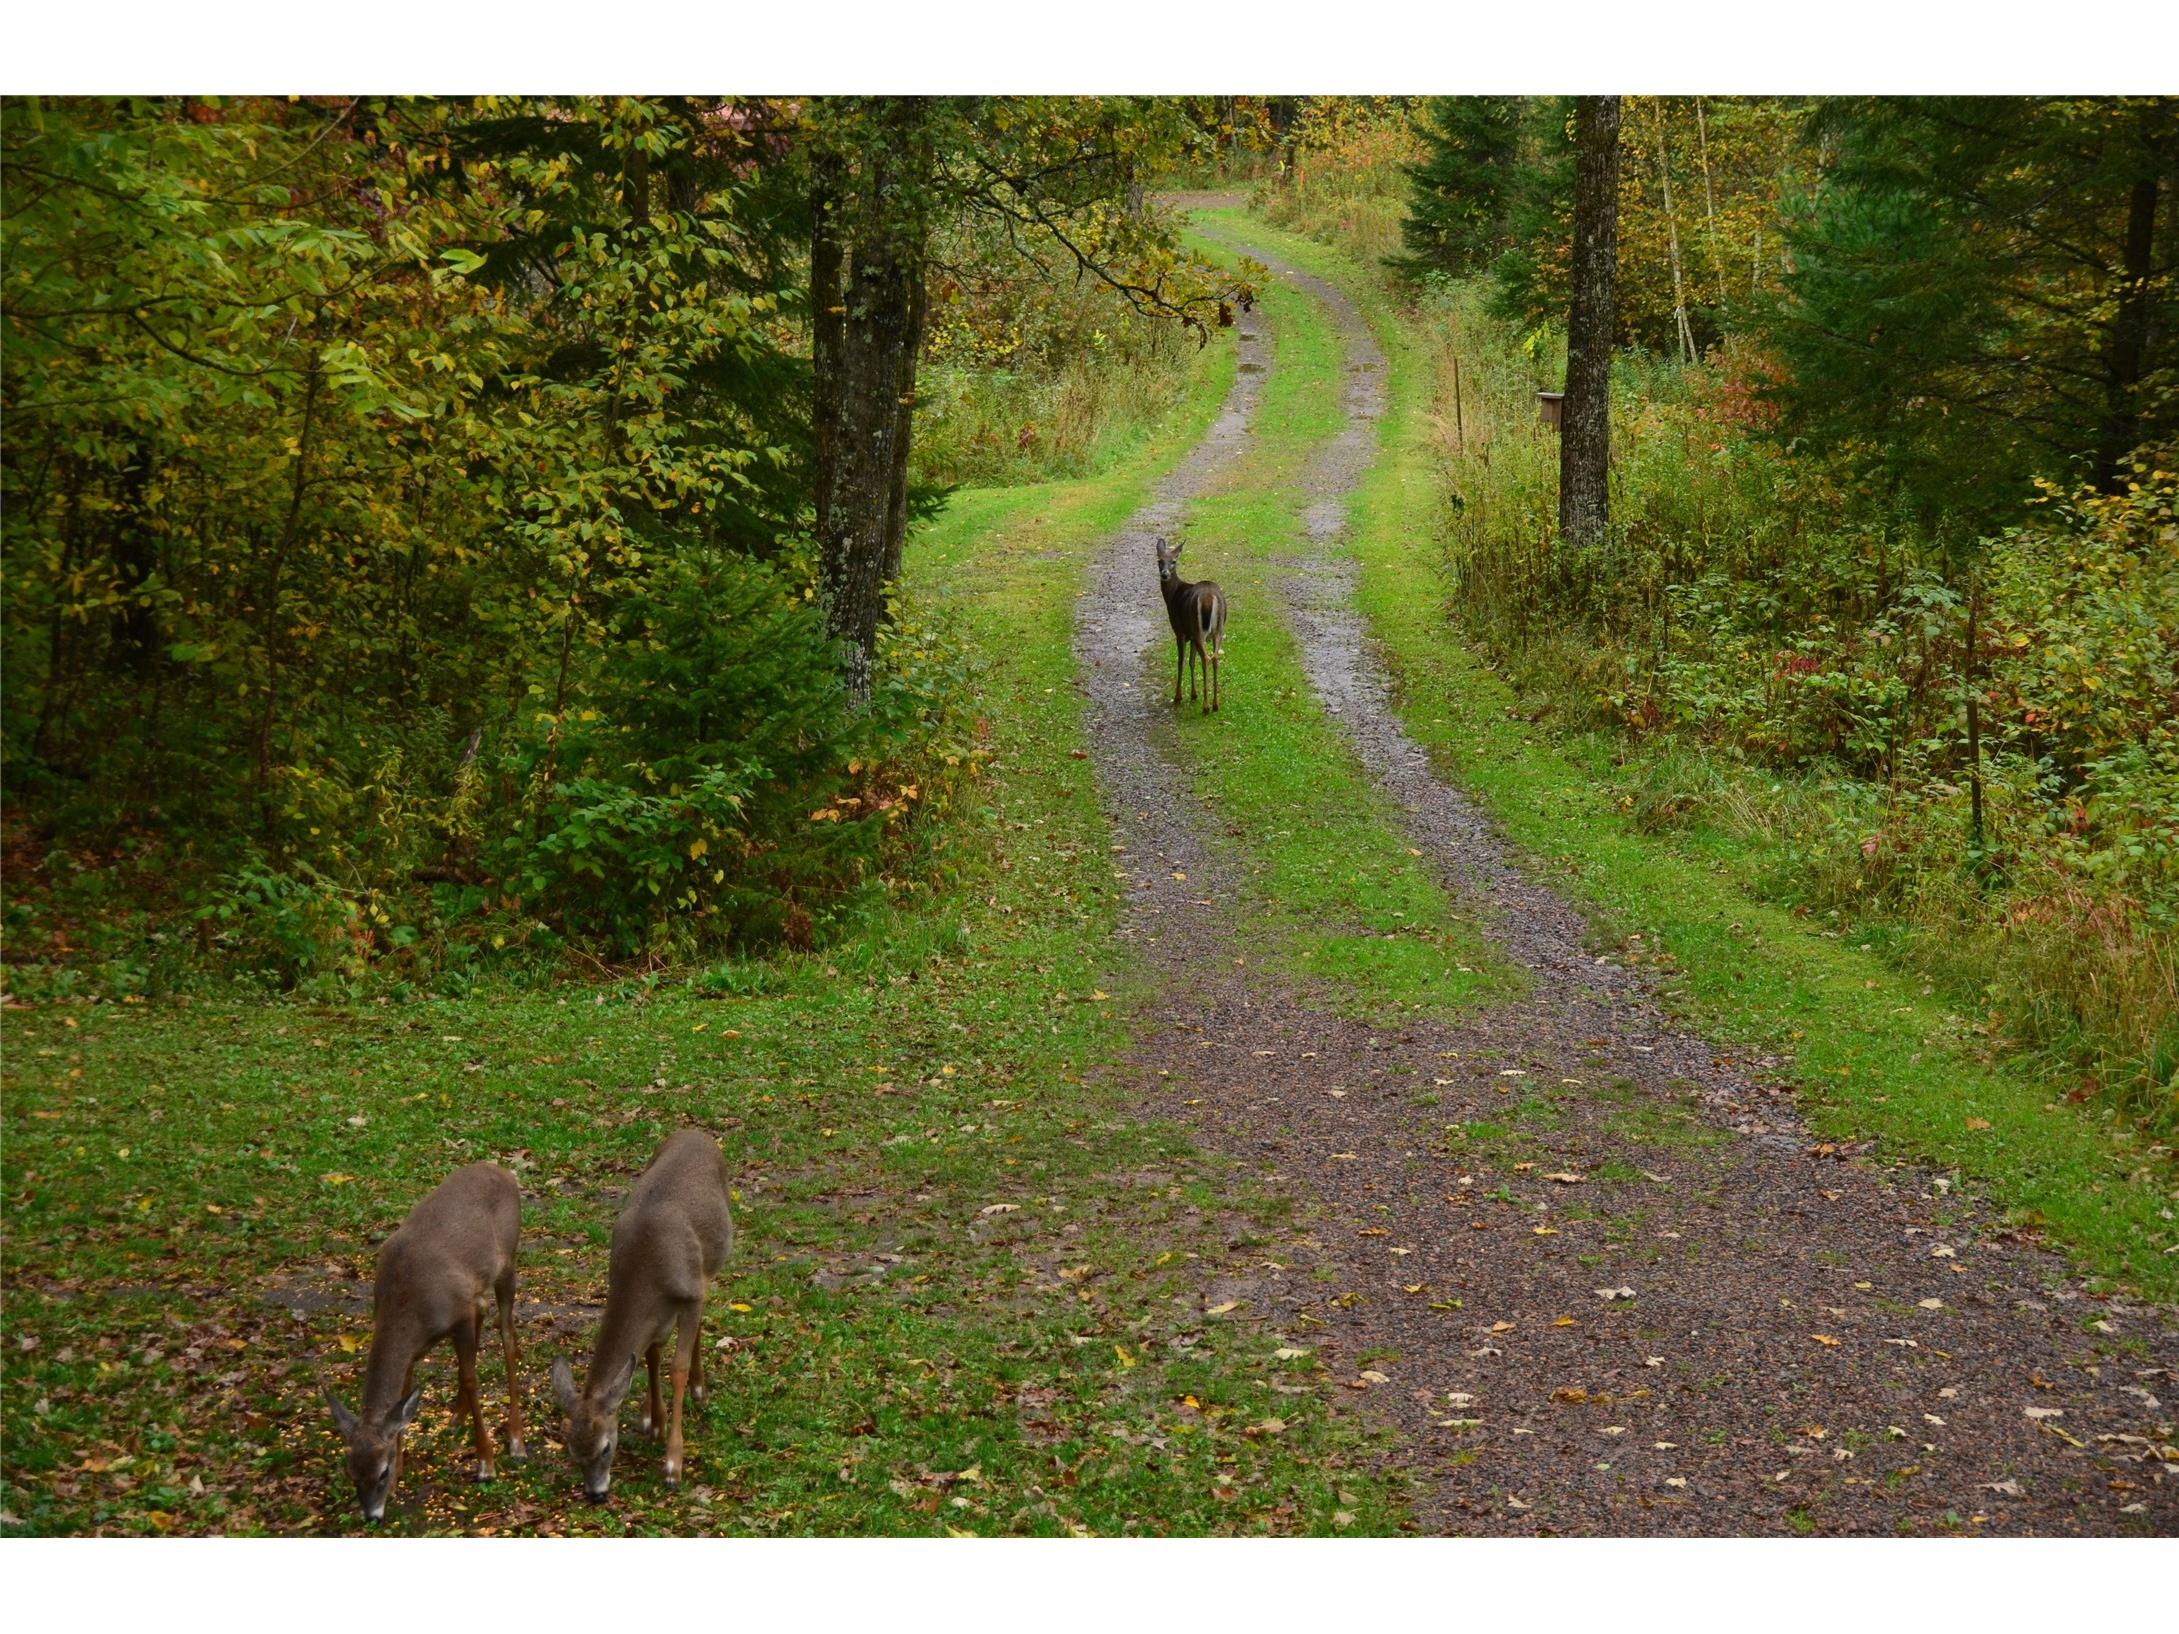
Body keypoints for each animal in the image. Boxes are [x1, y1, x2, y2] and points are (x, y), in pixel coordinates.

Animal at [320, 1161, 524, 1523]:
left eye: (381, 1472)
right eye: (351, 1472)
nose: (372, 1515)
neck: (408, 1305)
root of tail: (503, 1170)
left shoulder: (459, 1315)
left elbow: (470, 1378)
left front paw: (486, 1463)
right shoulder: (419, 1345)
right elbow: (405, 1394)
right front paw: (402, 1469)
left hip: (508, 1264)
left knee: (508, 1339)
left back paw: (515, 1440)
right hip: (478, 1291)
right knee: (485, 1318)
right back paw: (456, 1417)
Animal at [552, 1128, 734, 1502]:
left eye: (606, 1448)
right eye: (572, 1451)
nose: (595, 1494)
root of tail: (697, 1132)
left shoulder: (689, 1294)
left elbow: (676, 1368)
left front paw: (673, 1465)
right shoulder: (656, 1315)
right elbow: (650, 1356)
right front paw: (655, 1422)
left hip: (709, 1268)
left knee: (700, 1322)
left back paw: (699, 1390)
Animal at [1155, 535, 1227, 715]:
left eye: (1174, 561)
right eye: (1159, 560)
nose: (1164, 574)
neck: (1172, 595)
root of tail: (1209, 597)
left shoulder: (1179, 630)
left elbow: (1181, 662)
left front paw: (1178, 696)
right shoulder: (1192, 635)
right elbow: (1191, 662)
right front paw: (1194, 694)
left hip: (1198, 628)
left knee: (1206, 658)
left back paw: (1206, 706)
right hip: (1217, 630)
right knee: (1215, 657)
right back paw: (1215, 704)